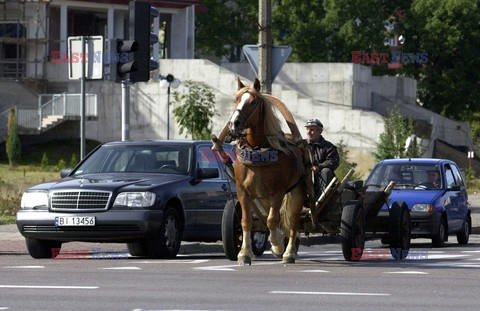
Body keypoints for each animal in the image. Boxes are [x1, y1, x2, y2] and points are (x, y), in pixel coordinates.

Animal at [226, 78, 308, 266]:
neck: (258, 150)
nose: (234, 123)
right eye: (236, 99)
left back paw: (289, 253)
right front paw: (245, 253)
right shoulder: (243, 191)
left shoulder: (277, 192)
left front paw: (277, 245)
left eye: (253, 102)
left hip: (297, 191)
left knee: (293, 222)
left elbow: (272, 220)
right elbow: (246, 221)